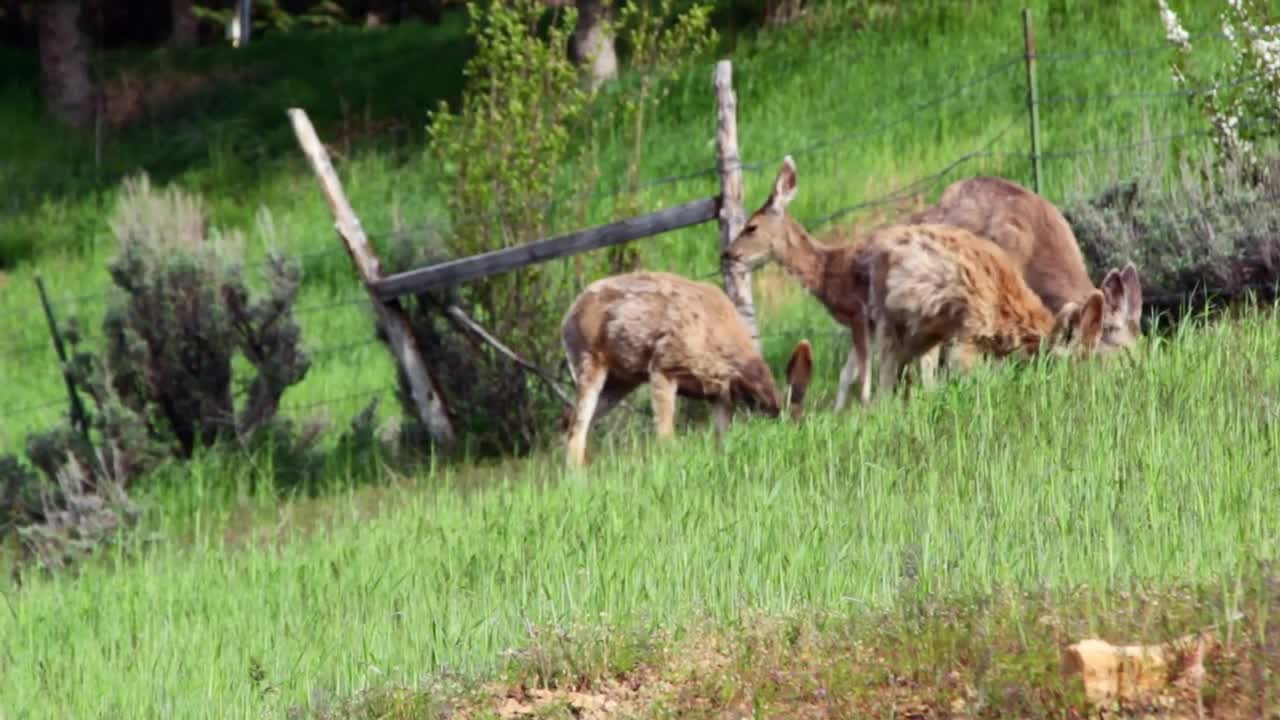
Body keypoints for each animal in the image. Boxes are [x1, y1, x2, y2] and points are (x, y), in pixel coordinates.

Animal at [558, 269, 808, 466]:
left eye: (802, 424)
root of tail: (569, 313)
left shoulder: (719, 394)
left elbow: (721, 440)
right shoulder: (663, 364)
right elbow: (666, 437)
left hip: (622, 380)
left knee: (569, 420)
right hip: (588, 359)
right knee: (577, 429)